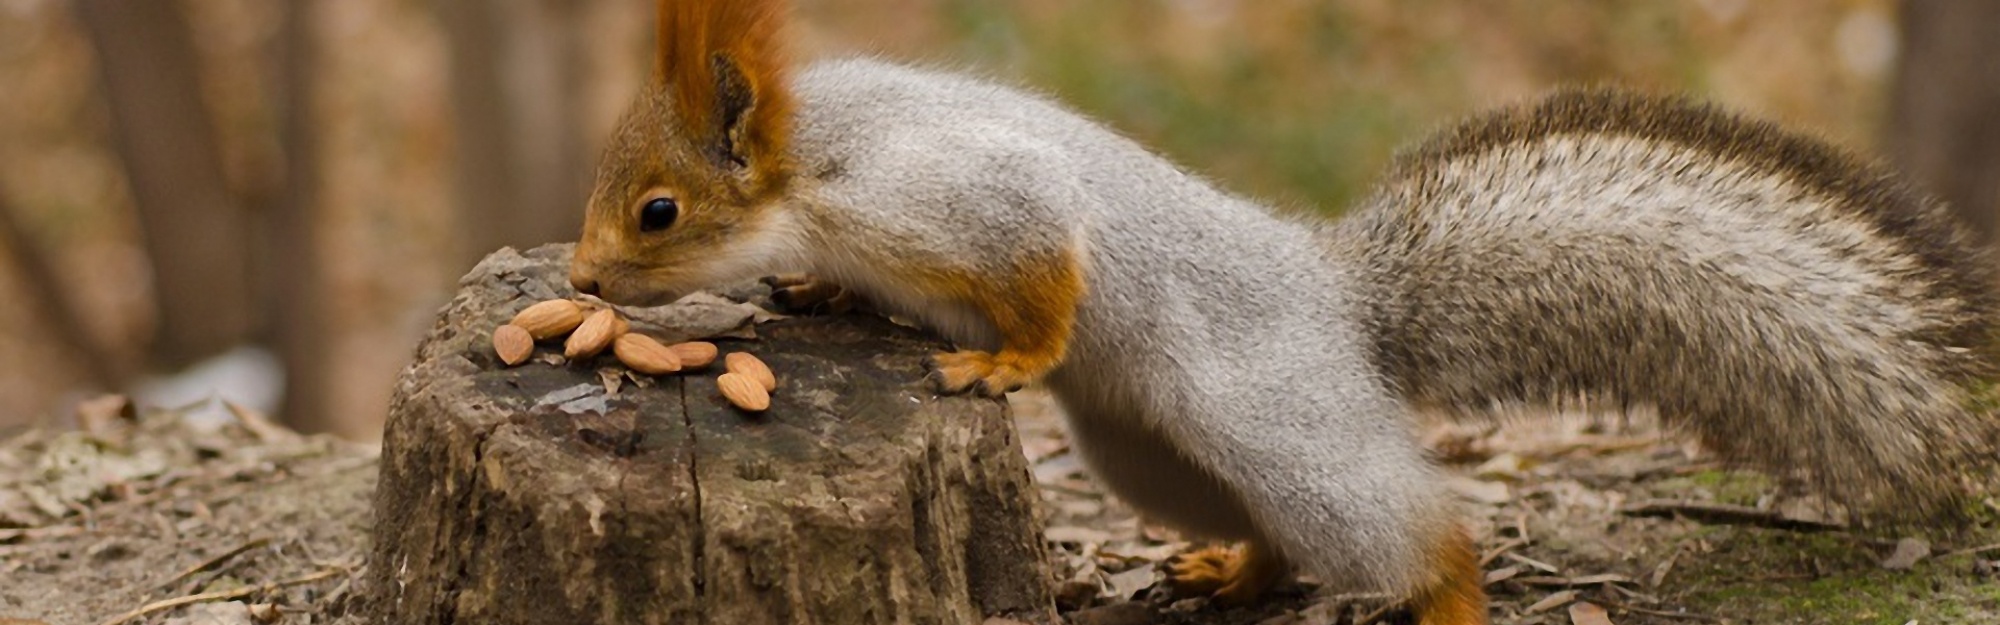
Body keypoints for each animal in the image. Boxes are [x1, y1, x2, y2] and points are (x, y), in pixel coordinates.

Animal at [564, 2, 2000, 620]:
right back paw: (1232, 570)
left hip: (1277, 423)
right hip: (1146, 453)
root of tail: (1342, 303)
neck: (809, 162)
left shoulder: (948, 197)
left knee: (1412, 539)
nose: (579, 284)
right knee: (1268, 535)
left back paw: (1446, 601)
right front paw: (812, 287)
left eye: (658, 213)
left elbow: (1046, 259)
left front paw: (1008, 358)